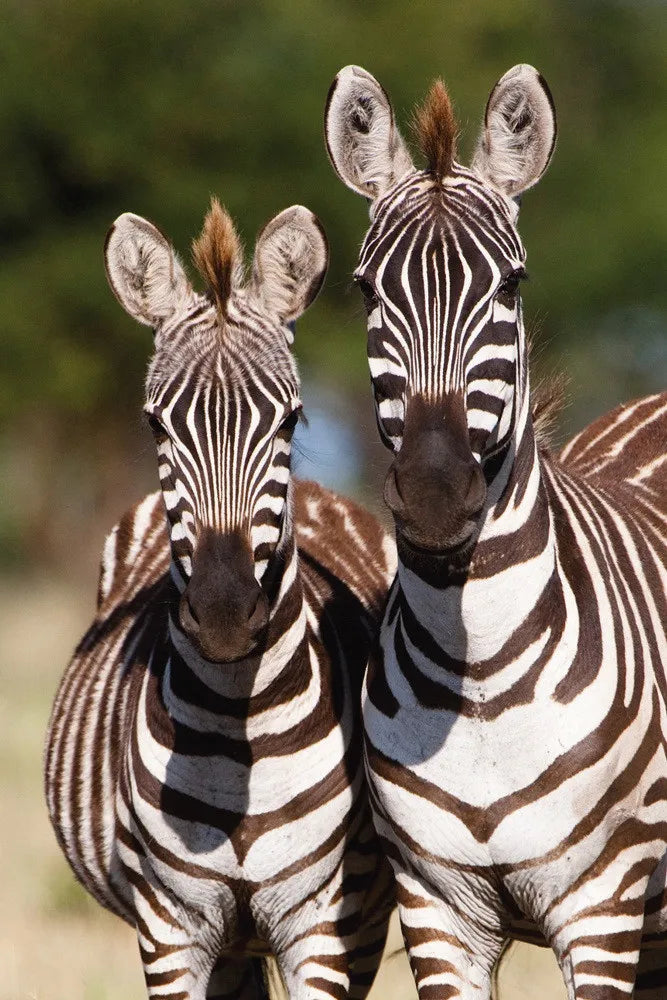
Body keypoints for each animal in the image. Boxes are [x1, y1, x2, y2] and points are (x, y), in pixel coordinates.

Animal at [45, 199, 398, 1000]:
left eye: (291, 418)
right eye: (155, 423)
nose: (226, 613)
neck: (241, 729)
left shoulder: (323, 926)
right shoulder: (171, 930)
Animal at [326, 63, 667, 999]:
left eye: (510, 286)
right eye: (366, 290)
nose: (436, 498)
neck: (477, 673)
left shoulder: (602, 902)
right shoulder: (437, 909)